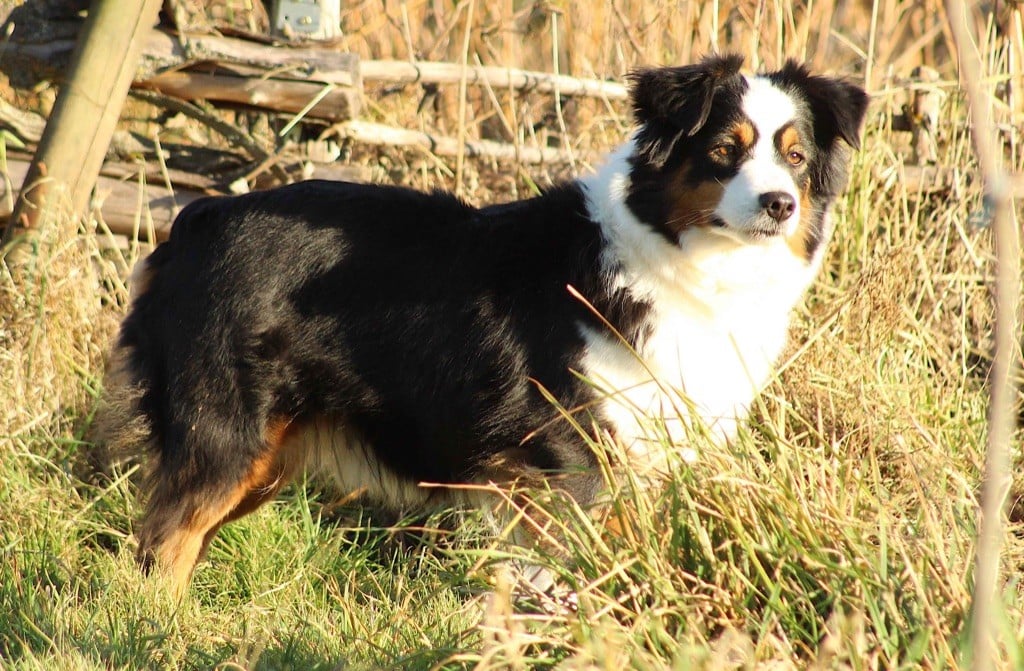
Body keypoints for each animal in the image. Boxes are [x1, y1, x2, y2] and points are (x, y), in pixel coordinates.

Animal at [99, 55, 864, 594]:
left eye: (795, 156)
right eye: (724, 151)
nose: (780, 204)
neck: (673, 258)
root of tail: (198, 218)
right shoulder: (573, 463)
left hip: (265, 457)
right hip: (227, 432)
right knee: (164, 545)